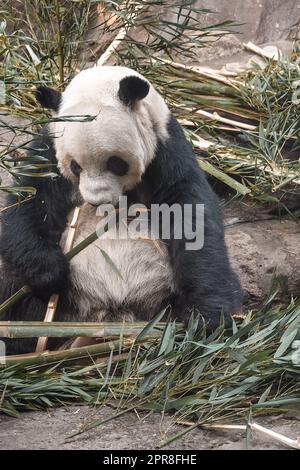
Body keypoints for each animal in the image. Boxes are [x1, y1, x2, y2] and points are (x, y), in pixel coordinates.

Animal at [0, 65, 243, 352]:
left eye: (115, 163)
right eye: (75, 166)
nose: (97, 201)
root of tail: (109, 313)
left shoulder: (166, 147)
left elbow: (189, 211)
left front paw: (207, 315)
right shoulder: (49, 147)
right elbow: (28, 201)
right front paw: (50, 270)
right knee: (11, 292)